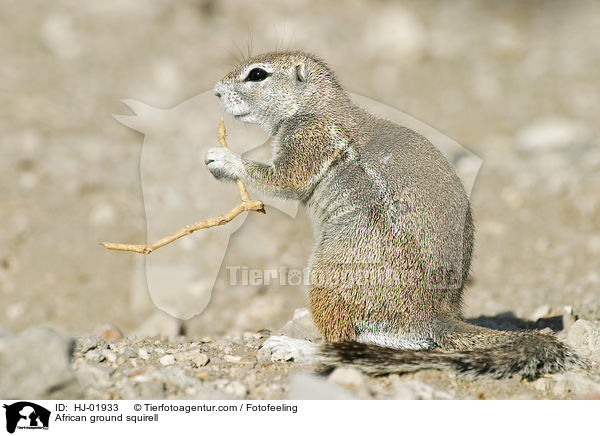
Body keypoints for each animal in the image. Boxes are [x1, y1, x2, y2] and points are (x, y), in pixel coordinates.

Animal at [206, 49, 584, 380]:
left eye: (257, 74)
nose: (216, 91)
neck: (315, 104)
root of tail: (435, 314)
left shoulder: (309, 138)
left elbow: (283, 178)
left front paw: (225, 159)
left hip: (333, 270)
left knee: (349, 338)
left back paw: (297, 346)